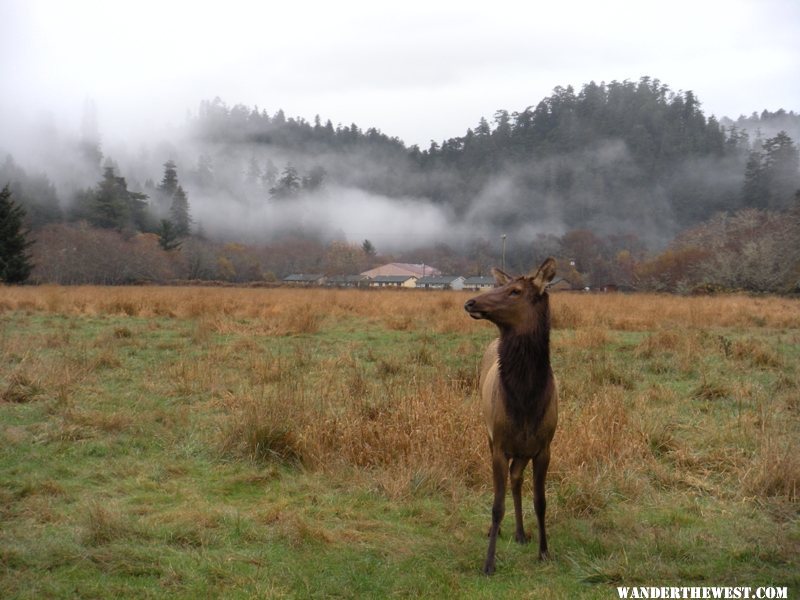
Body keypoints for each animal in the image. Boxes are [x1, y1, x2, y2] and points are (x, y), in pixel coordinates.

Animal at [462, 258, 556, 576]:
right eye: (499, 285)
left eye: (515, 291)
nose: (470, 301)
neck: (525, 401)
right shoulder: (500, 444)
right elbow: (496, 505)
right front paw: (488, 562)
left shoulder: (544, 447)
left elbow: (540, 501)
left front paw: (544, 551)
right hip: (489, 433)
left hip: (523, 451)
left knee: (516, 478)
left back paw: (520, 532)